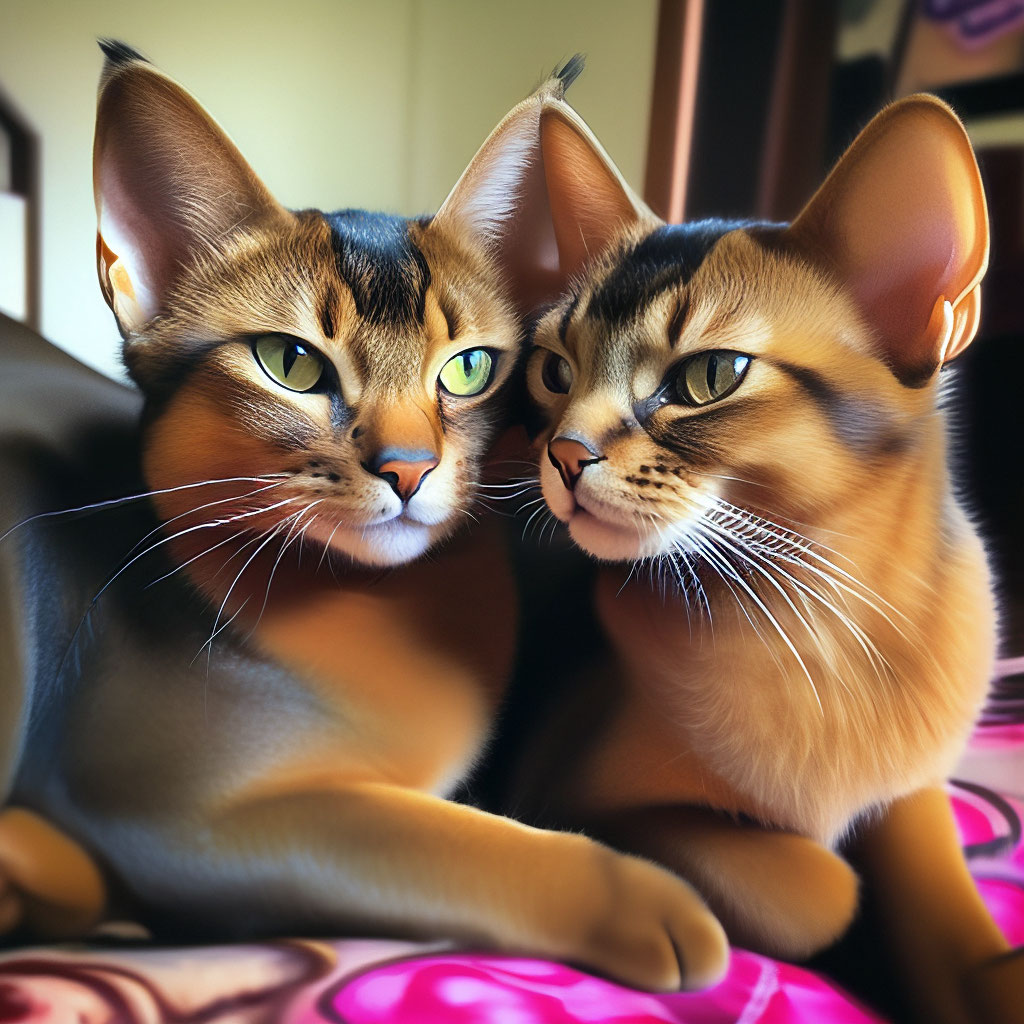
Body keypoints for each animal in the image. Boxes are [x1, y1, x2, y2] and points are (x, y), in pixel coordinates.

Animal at [0, 42, 728, 992]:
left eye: (470, 369)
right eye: (289, 363)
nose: (408, 467)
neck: (381, 608)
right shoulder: (167, 808)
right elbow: (446, 836)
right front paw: (644, 897)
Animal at [508, 89, 1024, 1022]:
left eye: (710, 376)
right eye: (556, 371)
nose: (562, 454)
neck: (832, 628)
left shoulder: (917, 793)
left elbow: (948, 902)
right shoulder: (556, 784)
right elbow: (820, 883)